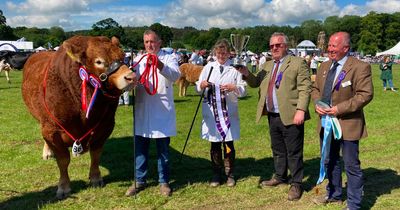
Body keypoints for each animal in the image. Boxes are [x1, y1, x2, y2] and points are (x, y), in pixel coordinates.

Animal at [22, 35, 138, 199]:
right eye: (99, 61)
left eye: (123, 57)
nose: (131, 77)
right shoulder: (51, 129)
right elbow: (63, 160)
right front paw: (63, 186)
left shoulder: (106, 125)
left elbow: (96, 154)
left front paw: (96, 178)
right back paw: (47, 152)